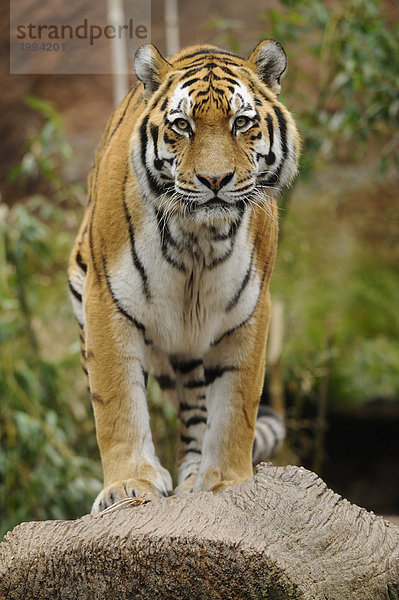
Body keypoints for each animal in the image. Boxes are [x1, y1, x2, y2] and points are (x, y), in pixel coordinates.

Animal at [68, 39, 300, 512]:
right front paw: (129, 484)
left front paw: (225, 482)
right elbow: (116, 402)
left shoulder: (250, 312)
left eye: (241, 122)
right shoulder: (106, 302)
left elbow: (235, 408)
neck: (199, 240)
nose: (215, 179)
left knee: (198, 410)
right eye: (182, 125)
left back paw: (194, 476)